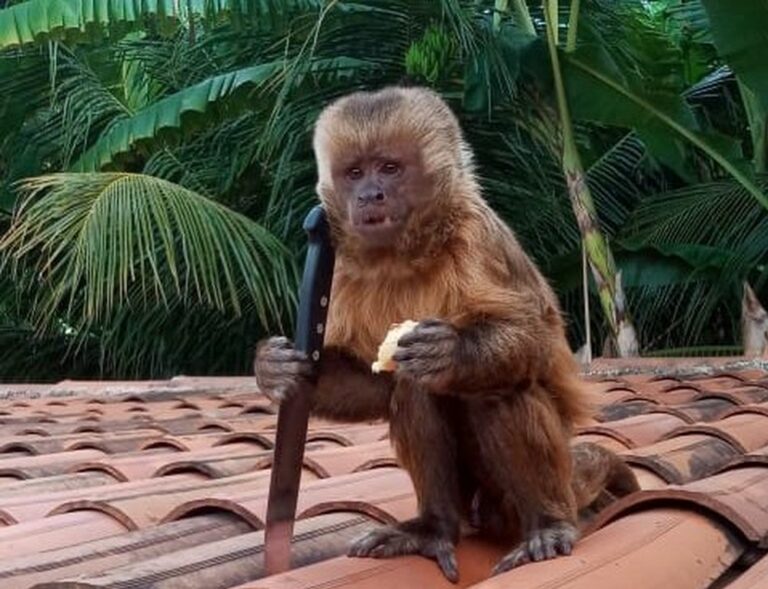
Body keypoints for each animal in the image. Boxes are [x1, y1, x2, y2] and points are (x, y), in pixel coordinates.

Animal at [255, 86, 639, 582]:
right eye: (355, 172)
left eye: (390, 168)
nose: (370, 195)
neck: (407, 251)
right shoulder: (342, 268)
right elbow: (375, 383)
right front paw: (275, 369)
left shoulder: (478, 239)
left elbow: (536, 340)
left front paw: (452, 353)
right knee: (413, 388)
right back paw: (435, 527)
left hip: (515, 501)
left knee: (498, 387)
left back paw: (547, 524)